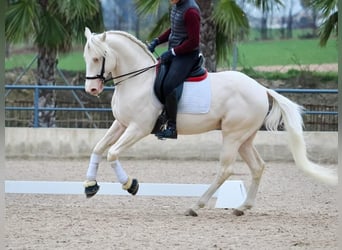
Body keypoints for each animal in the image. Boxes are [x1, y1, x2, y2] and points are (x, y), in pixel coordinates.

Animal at [82, 27, 336, 217]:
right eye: (86, 58)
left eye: (97, 58)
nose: (91, 89)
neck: (138, 80)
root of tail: (261, 89)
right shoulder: (121, 124)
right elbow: (98, 148)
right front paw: (90, 186)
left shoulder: (138, 128)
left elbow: (112, 153)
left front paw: (130, 185)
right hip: (245, 139)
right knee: (257, 166)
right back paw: (242, 207)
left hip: (232, 136)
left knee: (225, 169)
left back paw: (196, 206)